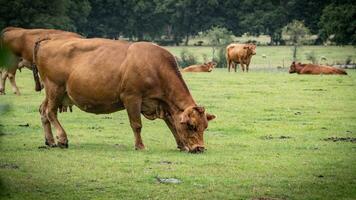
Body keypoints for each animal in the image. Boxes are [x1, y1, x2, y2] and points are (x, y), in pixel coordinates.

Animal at [33, 37, 216, 153]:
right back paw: (62, 139)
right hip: (55, 88)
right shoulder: (132, 98)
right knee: (50, 112)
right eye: (192, 126)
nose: (200, 148)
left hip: (55, 92)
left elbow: (172, 124)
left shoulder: (163, 104)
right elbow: (137, 125)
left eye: (205, 127)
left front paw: (181, 145)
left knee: (43, 111)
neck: (156, 67)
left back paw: (50, 141)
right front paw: (140, 146)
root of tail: (47, 41)